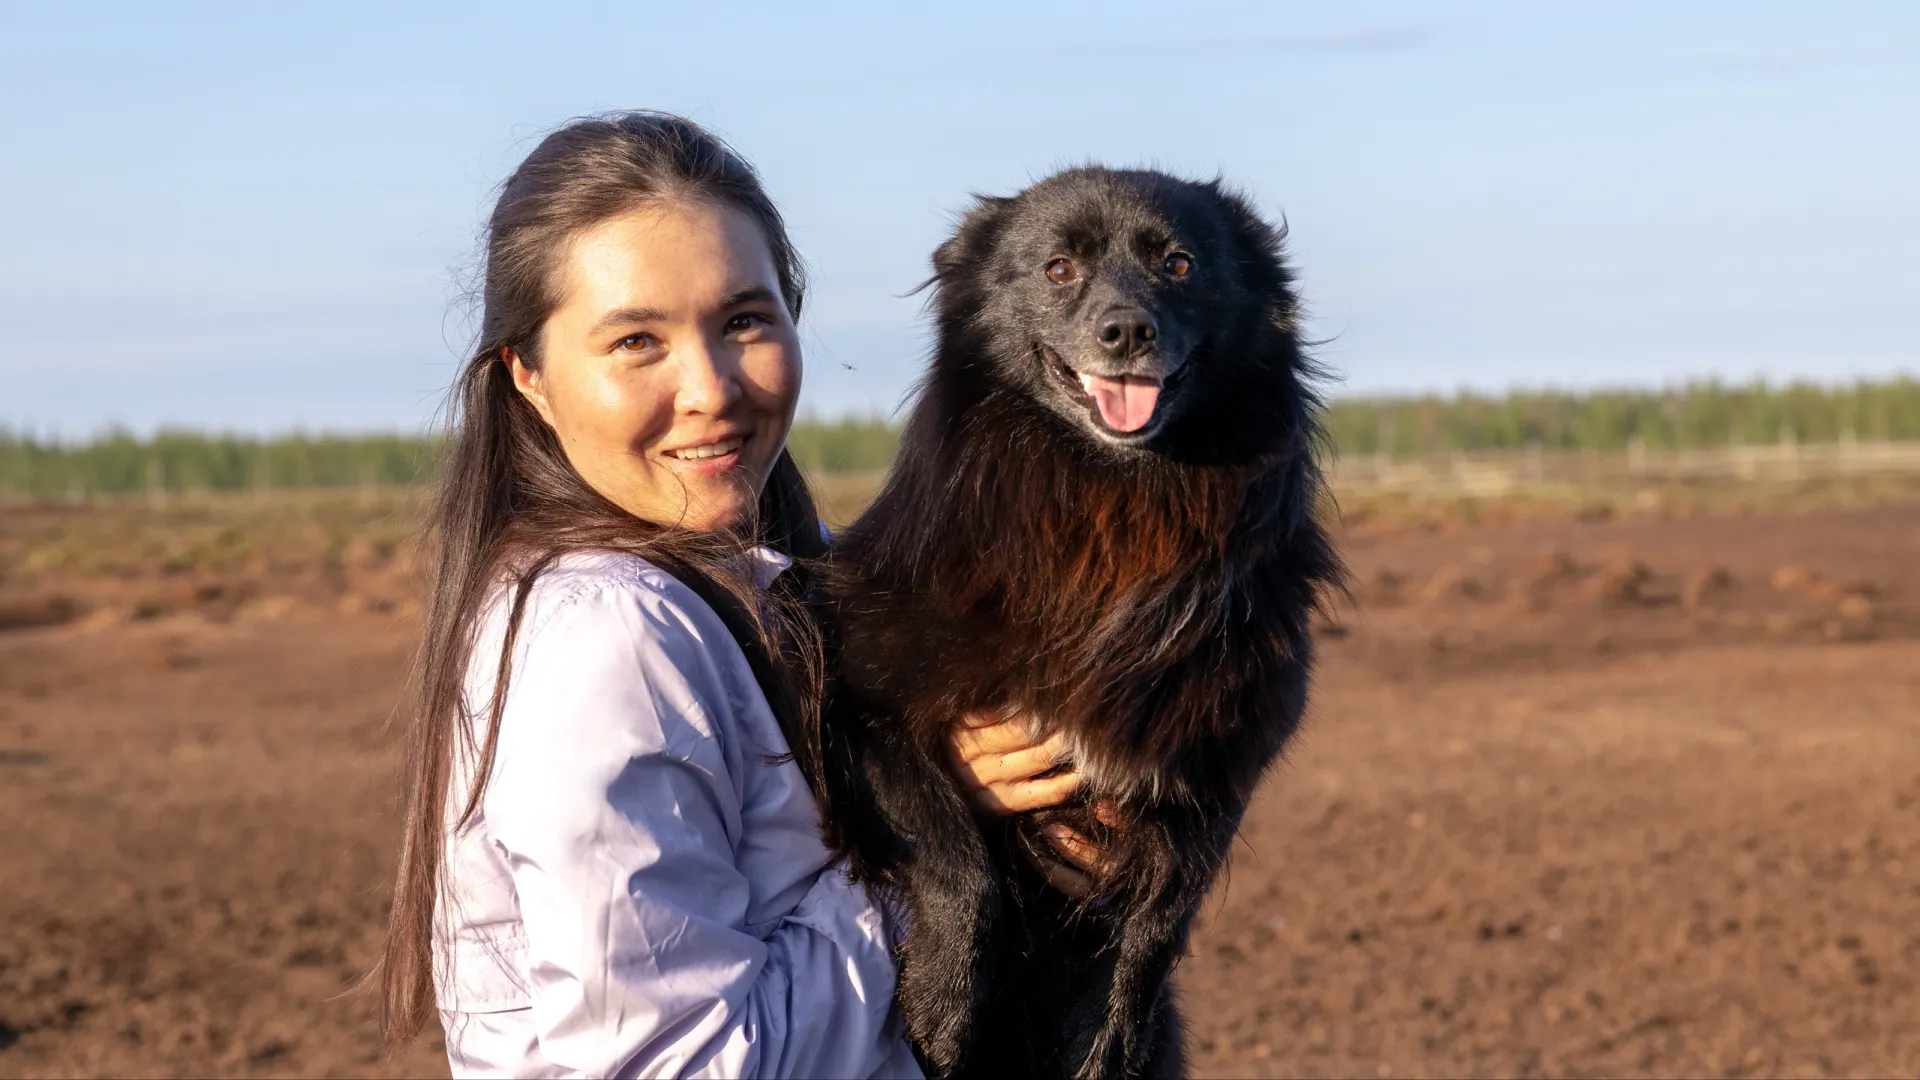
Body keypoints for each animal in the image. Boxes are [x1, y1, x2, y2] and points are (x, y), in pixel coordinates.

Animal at [817, 168, 1344, 1076]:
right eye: (1059, 268)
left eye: (1179, 263)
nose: (1127, 331)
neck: (1112, 503)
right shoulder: (861, 699)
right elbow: (955, 856)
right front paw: (942, 1005)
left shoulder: (1217, 757)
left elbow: (1161, 920)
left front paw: (1112, 1033)